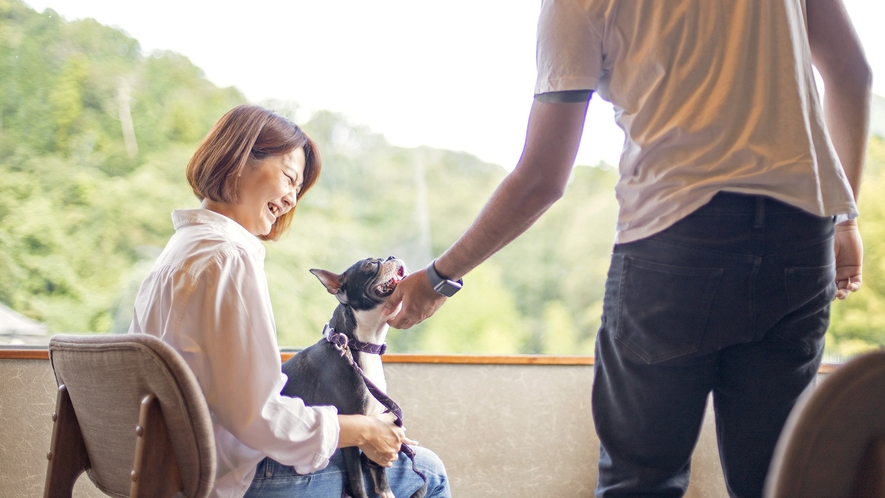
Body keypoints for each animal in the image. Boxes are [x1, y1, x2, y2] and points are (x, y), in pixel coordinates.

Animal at [282, 256, 424, 498]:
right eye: (369, 265)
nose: (391, 257)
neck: (359, 344)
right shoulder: (353, 433)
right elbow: (358, 482)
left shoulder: (375, 427)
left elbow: (379, 471)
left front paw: (386, 493)